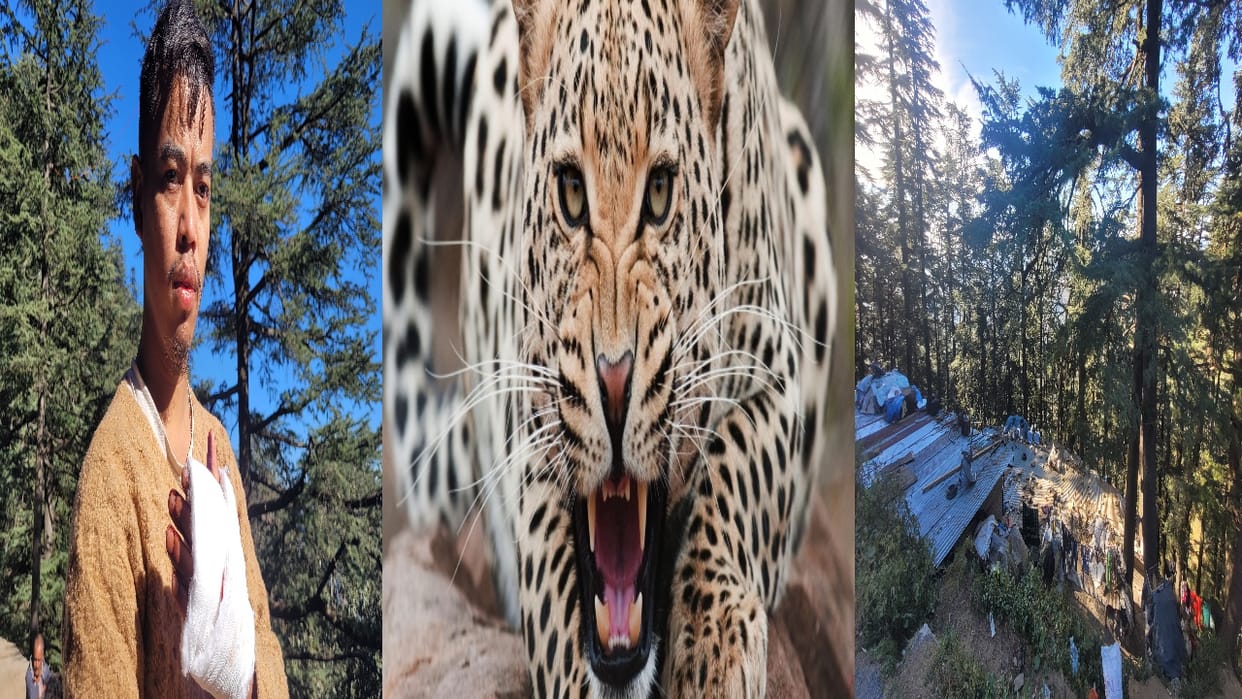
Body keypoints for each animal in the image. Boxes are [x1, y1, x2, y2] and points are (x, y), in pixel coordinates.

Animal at [383, 0, 837, 695]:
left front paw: (712, 649)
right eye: (571, 193)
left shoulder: (780, 370)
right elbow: (554, 590)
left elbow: (737, 463)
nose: (615, 385)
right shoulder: (533, 421)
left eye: (661, 193)